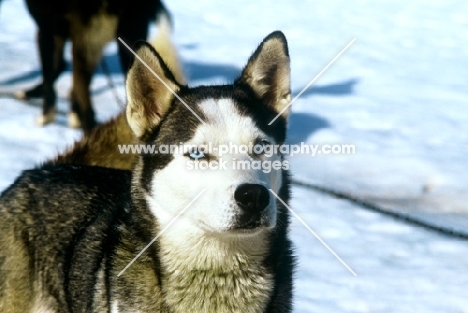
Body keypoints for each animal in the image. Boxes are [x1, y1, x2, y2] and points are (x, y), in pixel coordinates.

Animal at [16, 0, 173, 133]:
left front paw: (46, 116)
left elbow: (50, 74)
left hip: (85, 43)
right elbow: (59, 70)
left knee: (87, 105)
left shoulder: (49, 29)